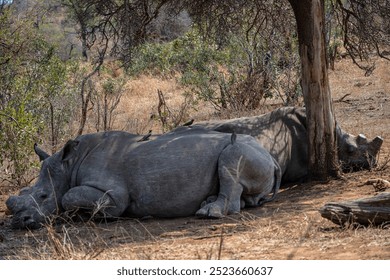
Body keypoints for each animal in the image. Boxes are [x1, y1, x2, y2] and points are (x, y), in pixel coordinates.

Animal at [6, 128, 280, 229]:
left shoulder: (115, 195)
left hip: (246, 149)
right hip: (257, 153)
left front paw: (97, 216)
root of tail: (273, 156)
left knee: (231, 156)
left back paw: (208, 213)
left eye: (43, 196)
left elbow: (69, 195)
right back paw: (207, 203)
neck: (69, 165)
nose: (20, 221)